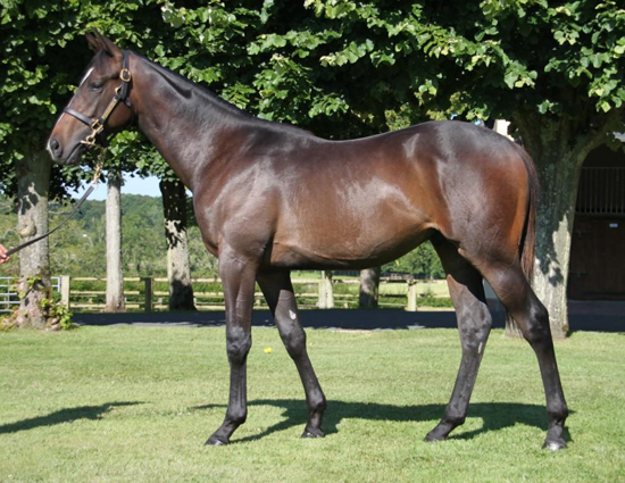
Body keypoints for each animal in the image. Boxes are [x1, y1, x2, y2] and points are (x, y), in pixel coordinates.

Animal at [46, 33, 568, 450]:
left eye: (95, 84)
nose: (56, 145)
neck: (226, 152)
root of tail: (511, 148)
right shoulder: (272, 267)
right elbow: (293, 336)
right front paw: (315, 420)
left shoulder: (238, 261)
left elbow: (238, 340)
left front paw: (227, 427)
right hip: (454, 255)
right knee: (474, 327)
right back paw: (445, 425)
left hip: (493, 258)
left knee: (535, 321)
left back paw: (555, 430)